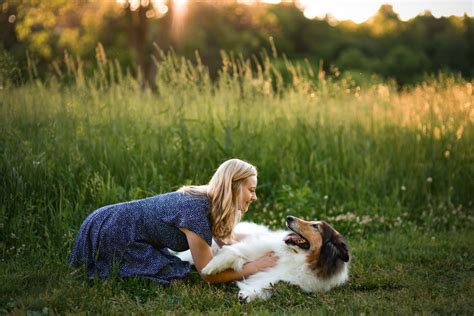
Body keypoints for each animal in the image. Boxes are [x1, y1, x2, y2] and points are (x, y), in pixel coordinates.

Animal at [176, 216, 350, 302]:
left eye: (315, 226)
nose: (289, 217)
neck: (298, 256)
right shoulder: (257, 247)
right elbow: (233, 253)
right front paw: (209, 268)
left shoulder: (282, 279)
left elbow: (266, 287)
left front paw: (247, 295)